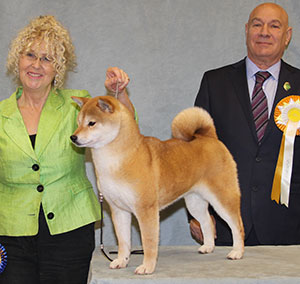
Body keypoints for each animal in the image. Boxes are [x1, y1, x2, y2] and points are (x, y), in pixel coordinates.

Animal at [71, 96, 245, 276]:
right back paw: (208, 247)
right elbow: (124, 241)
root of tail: (210, 138)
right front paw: (121, 261)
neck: (118, 159)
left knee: (237, 225)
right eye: (78, 122)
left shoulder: (146, 210)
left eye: (91, 123)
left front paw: (147, 267)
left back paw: (237, 252)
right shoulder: (119, 210)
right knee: (207, 222)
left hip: (223, 198)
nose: (73, 137)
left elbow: (148, 242)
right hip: (194, 202)